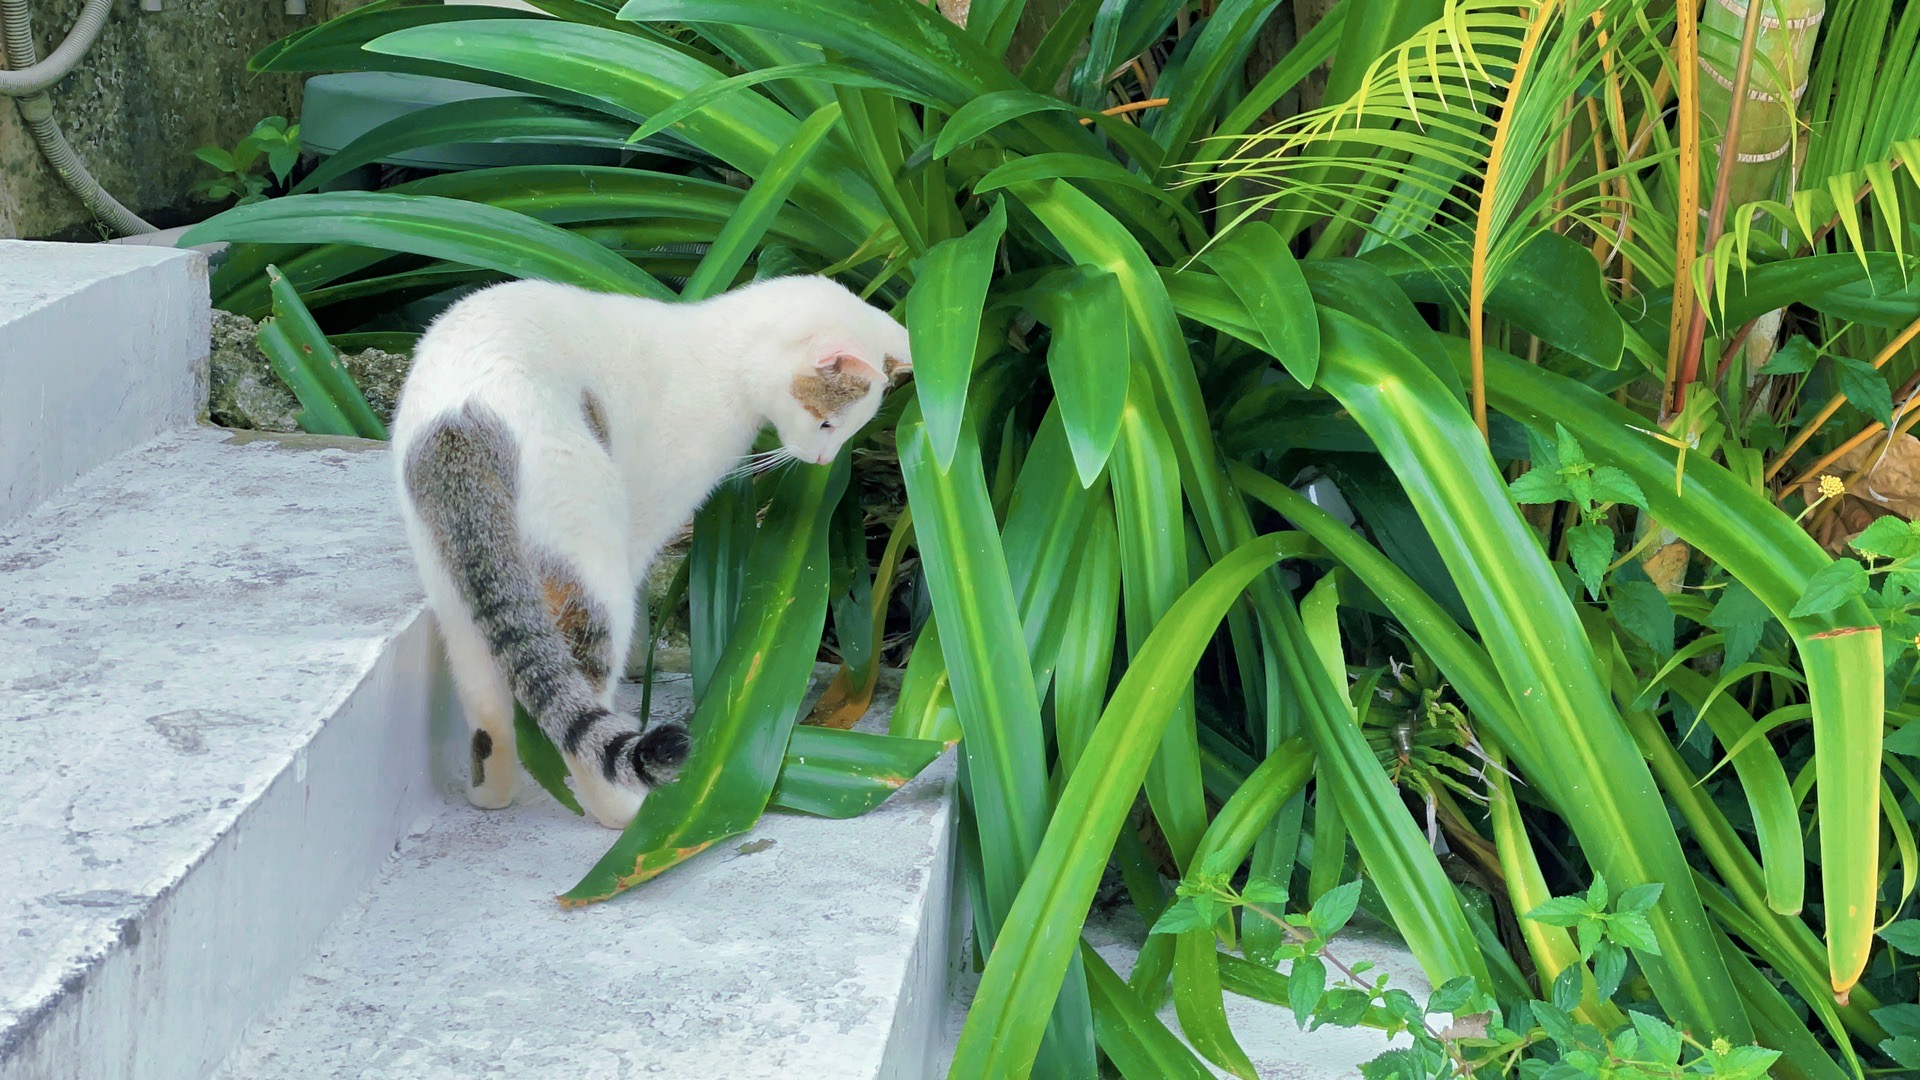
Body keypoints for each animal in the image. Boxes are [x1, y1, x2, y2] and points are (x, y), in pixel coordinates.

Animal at [391, 274, 913, 822]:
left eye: (849, 430)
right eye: (828, 423)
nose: (824, 460)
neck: (722, 355)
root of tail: (463, 421)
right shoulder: (642, 525)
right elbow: (641, 596)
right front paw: (642, 661)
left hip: (457, 579)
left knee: (485, 697)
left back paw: (491, 794)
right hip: (590, 557)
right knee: (577, 696)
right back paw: (622, 809)